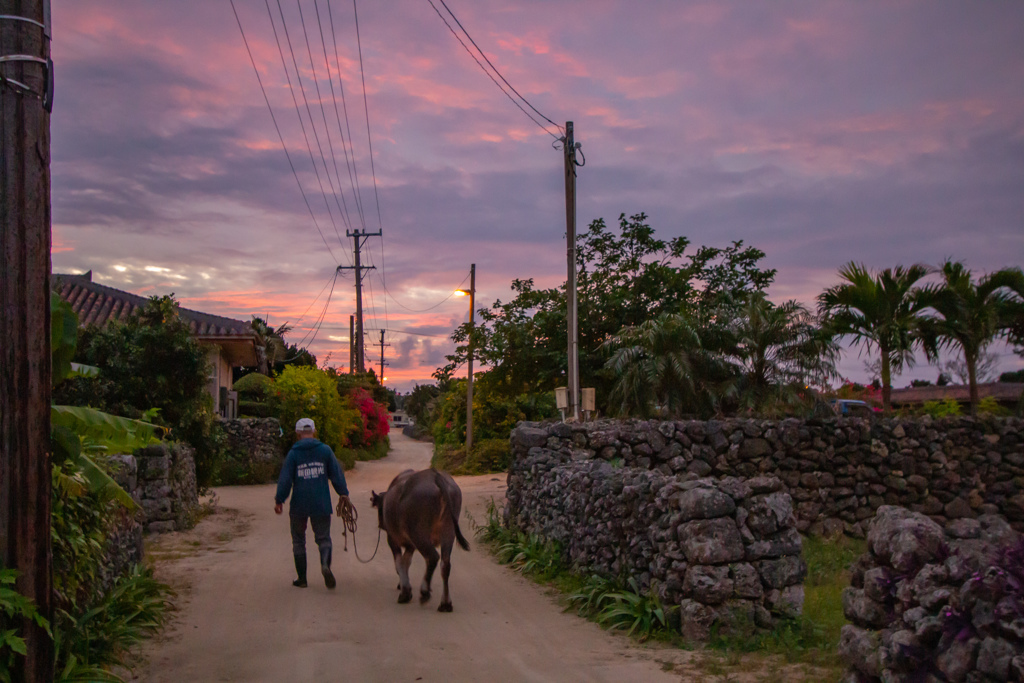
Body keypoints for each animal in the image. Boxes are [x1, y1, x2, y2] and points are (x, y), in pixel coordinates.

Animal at [370, 466, 468, 610]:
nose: (380, 524)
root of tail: (435, 476)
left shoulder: (393, 539)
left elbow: (399, 562)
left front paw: (405, 592)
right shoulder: (411, 545)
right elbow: (406, 562)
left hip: (418, 534)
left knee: (432, 557)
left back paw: (425, 593)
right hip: (449, 531)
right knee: (445, 563)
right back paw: (445, 603)